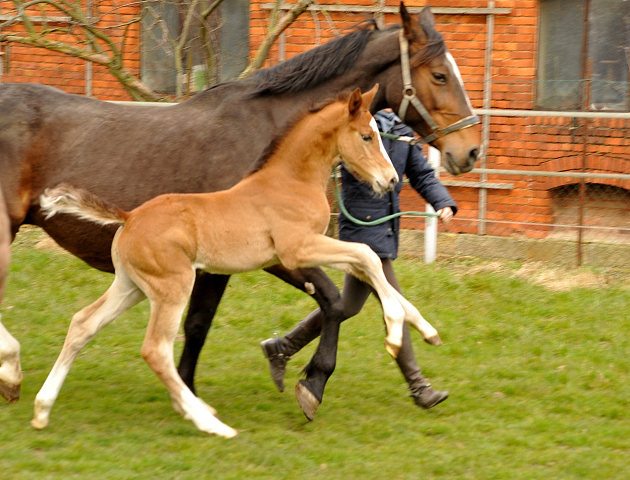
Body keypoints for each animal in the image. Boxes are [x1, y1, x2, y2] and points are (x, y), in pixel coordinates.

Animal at [34, 84, 440, 436]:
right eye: (367, 136)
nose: (391, 180)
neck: (290, 181)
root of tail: (129, 217)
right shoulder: (297, 249)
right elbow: (367, 255)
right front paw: (393, 333)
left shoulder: (307, 248)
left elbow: (369, 267)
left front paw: (425, 328)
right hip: (173, 286)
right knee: (155, 349)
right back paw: (210, 422)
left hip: (130, 285)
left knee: (83, 323)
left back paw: (42, 409)